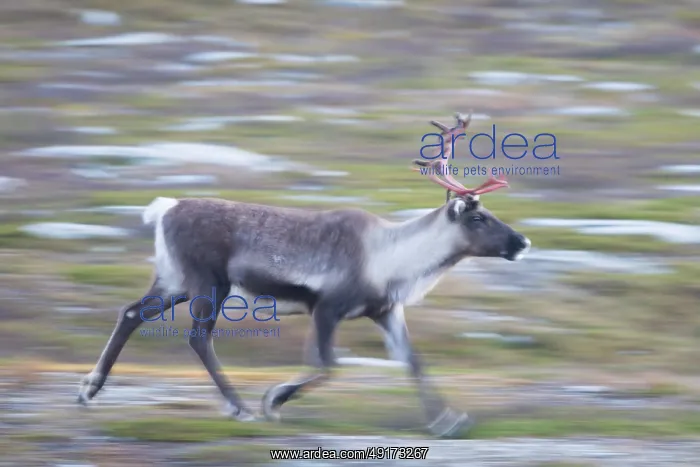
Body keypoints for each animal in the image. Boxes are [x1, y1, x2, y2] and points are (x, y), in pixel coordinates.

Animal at [76, 111, 531, 438]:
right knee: (198, 338)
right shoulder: (327, 307)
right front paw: (273, 401)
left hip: (174, 282)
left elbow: (413, 361)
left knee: (131, 313)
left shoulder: (385, 311)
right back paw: (241, 408)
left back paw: (89, 389)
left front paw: (449, 420)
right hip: (209, 283)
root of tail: (164, 208)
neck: (394, 257)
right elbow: (328, 364)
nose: (523, 242)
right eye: (478, 217)